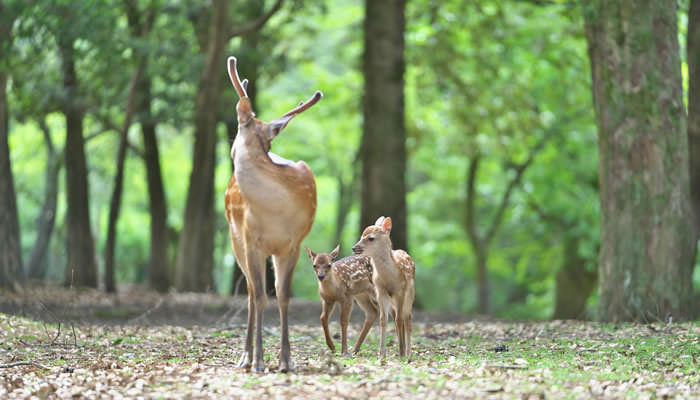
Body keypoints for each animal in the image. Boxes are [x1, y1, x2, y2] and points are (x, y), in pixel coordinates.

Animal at [226, 55, 322, 372]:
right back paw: (245, 356)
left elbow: (283, 296)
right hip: (236, 242)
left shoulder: (293, 245)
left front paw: (286, 360)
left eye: (270, 144)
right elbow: (261, 297)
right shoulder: (252, 240)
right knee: (251, 293)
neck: (277, 211)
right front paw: (258, 361)